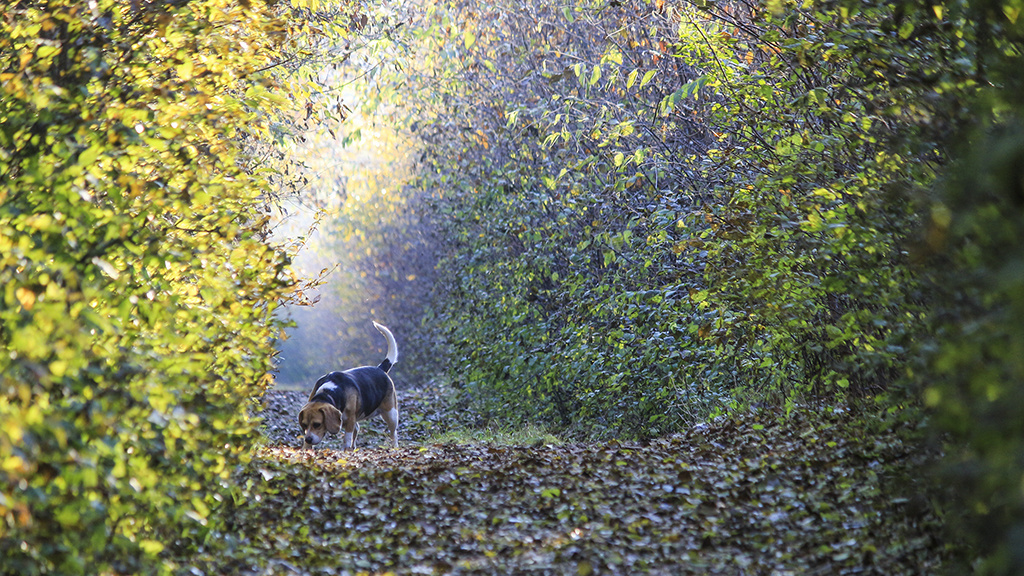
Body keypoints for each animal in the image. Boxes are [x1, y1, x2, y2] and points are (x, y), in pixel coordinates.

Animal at [299, 317, 397, 448]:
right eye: (304, 425)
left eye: (317, 424)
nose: (308, 439)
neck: (329, 392)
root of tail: (380, 368)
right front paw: (306, 449)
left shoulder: (350, 420)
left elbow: (347, 439)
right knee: (358, 428)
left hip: (391, 414)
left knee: (393, 433)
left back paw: (395, 447)